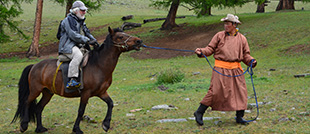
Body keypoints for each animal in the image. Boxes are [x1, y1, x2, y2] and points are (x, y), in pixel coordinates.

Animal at [11, 27, 144, 133]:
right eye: (120, 36)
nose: (139, 41)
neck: (98, 65)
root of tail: (34, 66)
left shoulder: (101, 92)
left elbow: (110, 104)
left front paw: (106, 125)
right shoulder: (85, 93)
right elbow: (81, 111)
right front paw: (77, 129)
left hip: (47, 93)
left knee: (38, 108)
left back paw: (39, 128)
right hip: (35, 90)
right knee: (27, 103)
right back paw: (24, 125)